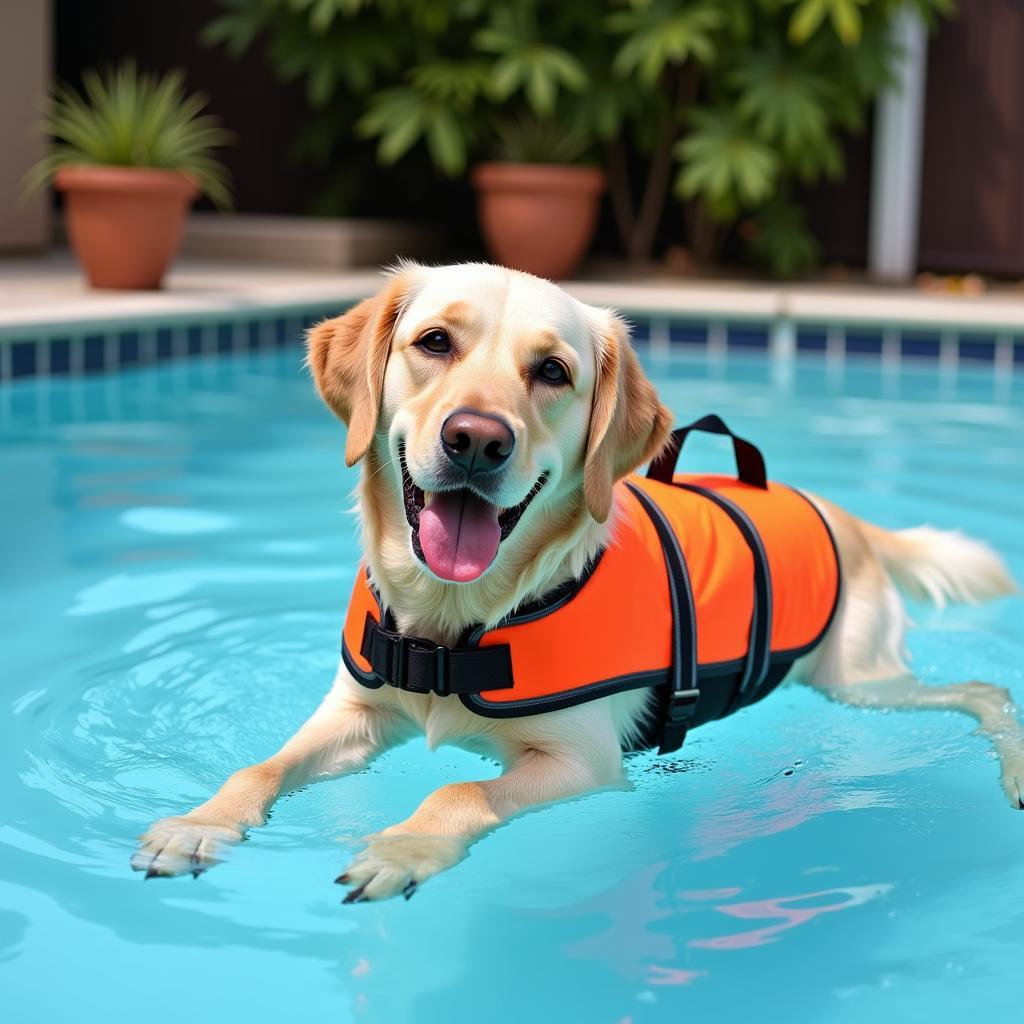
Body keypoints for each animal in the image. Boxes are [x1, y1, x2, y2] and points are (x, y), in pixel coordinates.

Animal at [132, 260, 1019, 901]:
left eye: (553, 371)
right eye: (434, 343)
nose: (476, 440)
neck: (456, 625)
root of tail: (841, 512)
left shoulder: (582, 761)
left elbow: (460, 789)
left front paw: (405, 846)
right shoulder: (357, 711)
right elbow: (260, 767)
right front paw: (198, 824)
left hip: (857, 678)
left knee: (984, 692)